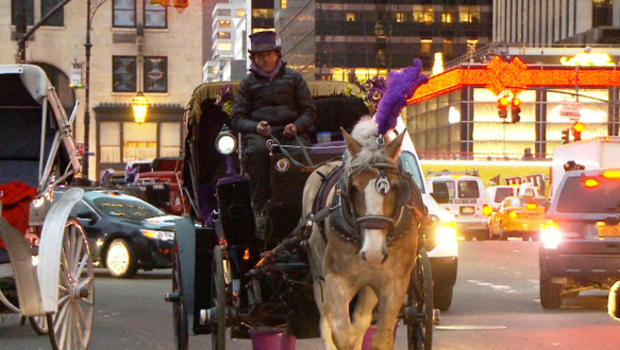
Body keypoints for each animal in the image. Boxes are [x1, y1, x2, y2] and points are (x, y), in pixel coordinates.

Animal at [302, 118, 426, 350]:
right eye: (354, 188)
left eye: (393, 187)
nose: (373, 254)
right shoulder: (335, 279)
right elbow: (342, 336)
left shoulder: (395, 281)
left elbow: (380, 338)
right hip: (319, 272)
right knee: (326, 321)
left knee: (361, 320)